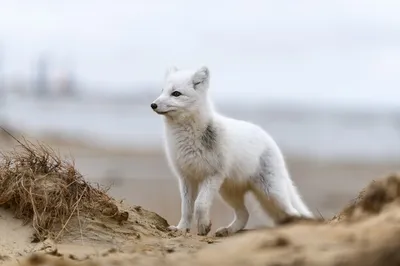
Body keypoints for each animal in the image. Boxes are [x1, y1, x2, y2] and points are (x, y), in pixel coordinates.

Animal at [150, 65, 312, 236]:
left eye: (176, 93)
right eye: (162, 91)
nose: (153, 105)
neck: (187, 138)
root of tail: (268, 138)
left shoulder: (213, 175)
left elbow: (200, 204)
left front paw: (203, 226)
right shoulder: (186, 178)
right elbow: (186, 208)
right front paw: (181, 228)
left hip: (271, 193)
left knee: (293, 212)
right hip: (229, 193)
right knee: (244, 214)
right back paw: (227, 230)